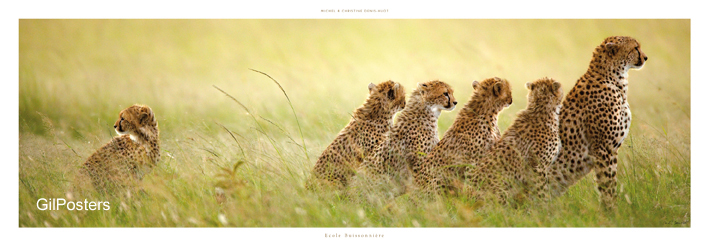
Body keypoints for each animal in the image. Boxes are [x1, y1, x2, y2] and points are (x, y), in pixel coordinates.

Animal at [544, 35, 648, 208]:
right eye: (635, 48)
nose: (645, 57)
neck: (615, 80)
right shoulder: (603, 149)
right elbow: (607, 184)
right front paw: (611, 209)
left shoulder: (610, 149)